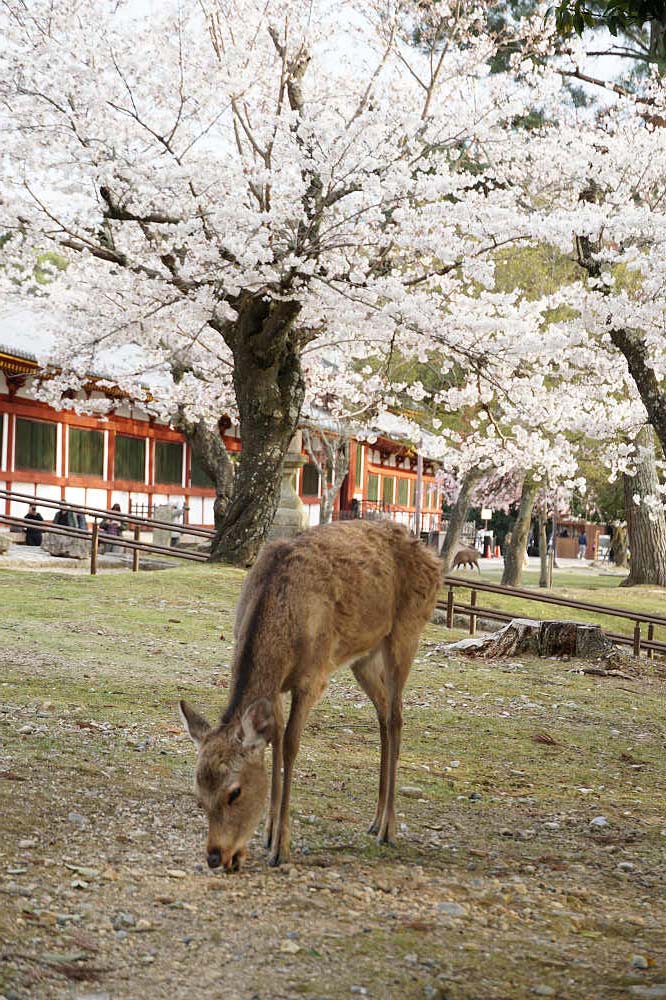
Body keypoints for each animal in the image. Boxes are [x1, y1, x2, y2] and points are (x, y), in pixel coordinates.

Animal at [179, 519, 441, 872]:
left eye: (235, 792)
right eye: (198, 796)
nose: (216, 856)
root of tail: (432, 555)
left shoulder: (312, 678)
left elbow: (290, 745)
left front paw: (280, 847)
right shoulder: (276, 686)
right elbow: (274, 740)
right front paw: (268, 833)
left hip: (406, 633)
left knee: (397, 718)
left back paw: (388, 828)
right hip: (363, 658)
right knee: (383, 714)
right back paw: (374, 821)